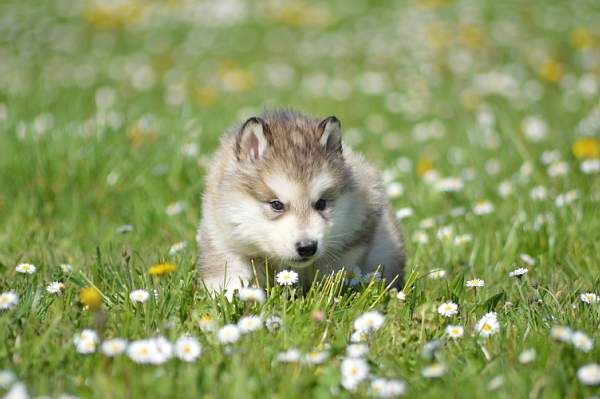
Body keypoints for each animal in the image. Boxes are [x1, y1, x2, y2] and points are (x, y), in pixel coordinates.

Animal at [199, 108, 406, 294]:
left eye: (321, 203)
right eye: (276, 205)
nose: (307, 247)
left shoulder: (352, 239)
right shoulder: (223, 241)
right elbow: (230, 276)